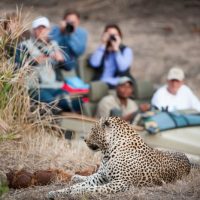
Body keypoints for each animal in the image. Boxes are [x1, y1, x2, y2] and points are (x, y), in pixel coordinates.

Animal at [47, 116, 191, 199]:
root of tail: (187, 159)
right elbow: (79, 185)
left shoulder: (121, 182)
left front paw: (78, 192)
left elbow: (92, 188)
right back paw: (76, 177)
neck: (107, 152)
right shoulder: (101, 177)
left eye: (93, 130)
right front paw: (56, 192)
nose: (84, 139)